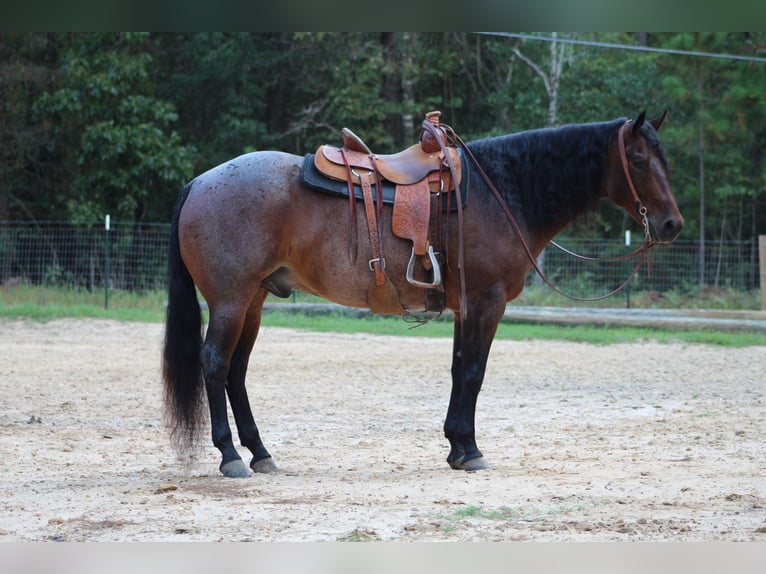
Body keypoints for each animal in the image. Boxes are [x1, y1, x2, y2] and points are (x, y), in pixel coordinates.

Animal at [162, 110, 684, 480]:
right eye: (639, 161)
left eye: (666, 160)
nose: (671, 225)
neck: (503, 191)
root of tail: (200, 182)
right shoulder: (487, 303)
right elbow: (474, 373)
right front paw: (470, 451)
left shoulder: (465, 309)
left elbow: (458, 371)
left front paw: (456, 446)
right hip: (231, 300)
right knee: (215, 363)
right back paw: (230, 455)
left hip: (254, 300)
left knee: (236, 371)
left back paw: (260, 453)